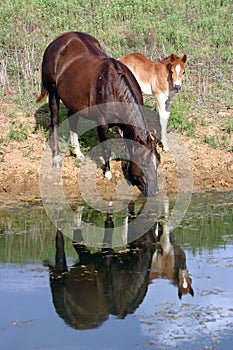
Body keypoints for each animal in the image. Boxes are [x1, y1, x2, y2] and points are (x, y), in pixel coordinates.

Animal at [36, 32, 160, 197]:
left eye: (158, 161)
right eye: (144, 163)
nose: (154, 191)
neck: (114, 89)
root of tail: (58, 40)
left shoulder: (125, 125)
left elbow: (128, 148)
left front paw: (128, 174)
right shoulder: (102, 124)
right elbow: (106, 148)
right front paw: (108, 173)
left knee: (72, 119)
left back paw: (78, 154)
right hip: (53, 90)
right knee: (55, 120)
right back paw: (56, 157)